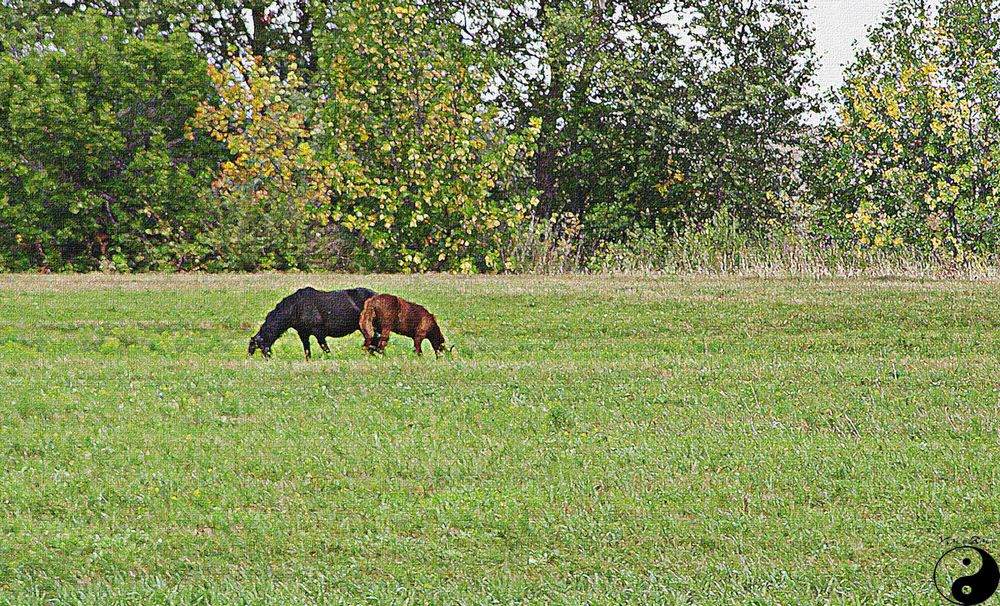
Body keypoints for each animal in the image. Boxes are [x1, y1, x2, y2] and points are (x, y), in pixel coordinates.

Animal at [248, 286, 376, 358]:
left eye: (262, 346)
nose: (268, 359)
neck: (295, 308)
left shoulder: (319, 333)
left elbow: (326, 349)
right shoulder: (303, 334)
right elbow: (307, 352)